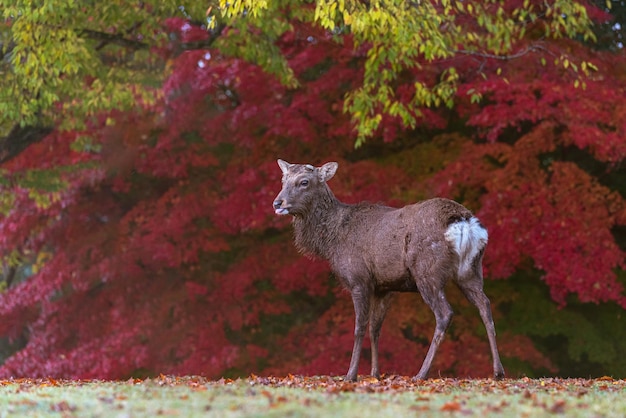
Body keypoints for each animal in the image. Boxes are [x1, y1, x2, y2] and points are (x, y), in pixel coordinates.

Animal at [270, 160, 504, 382]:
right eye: (283, 180)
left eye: (304, 182)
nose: (277, 203)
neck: (331, 241)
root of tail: (464, 222)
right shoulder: (384, 286)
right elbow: (375, 328)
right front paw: (375, 373)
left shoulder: (359, 279)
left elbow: (359, 327)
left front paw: (351, 375)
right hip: (471, 270)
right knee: (485, 306)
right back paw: (498, 372)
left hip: (427, 271)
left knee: (445, 313)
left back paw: (421, 373)